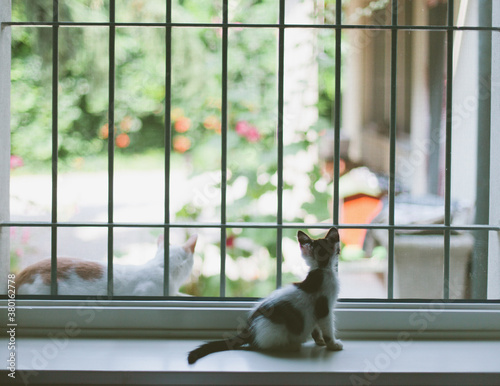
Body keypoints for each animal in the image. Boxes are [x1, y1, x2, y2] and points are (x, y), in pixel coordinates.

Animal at [188, 228, 344, 364]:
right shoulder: (324, 307)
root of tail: (249, 330)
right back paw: (291, 346)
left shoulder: (315, 311)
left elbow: (316, 327)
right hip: (275, 330)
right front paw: (332, 344)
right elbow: (327, 327)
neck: (320, 270)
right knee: (265, 346)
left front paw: (320, 341)